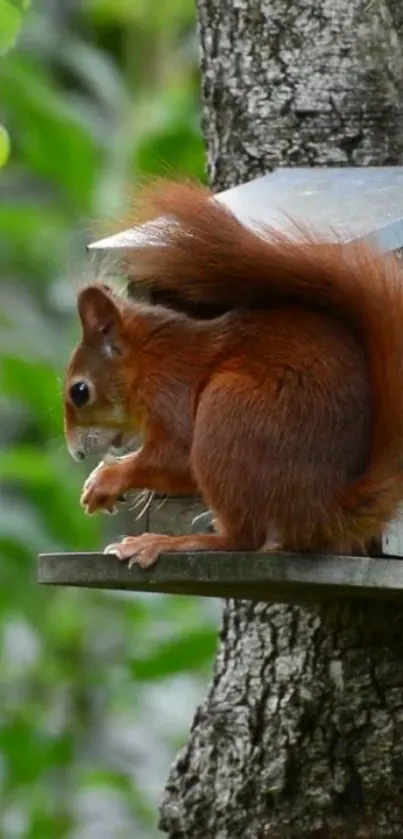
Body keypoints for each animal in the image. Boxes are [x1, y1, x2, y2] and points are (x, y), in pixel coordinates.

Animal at [63, 180, 403, 568]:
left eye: (79, 392)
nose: (76, 453)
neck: (149, 360)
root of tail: (325, 508)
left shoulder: (169, 390)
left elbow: (176, 458)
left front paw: (108, 478)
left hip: (228, 415)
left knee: (242, 539)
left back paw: (168, 542)